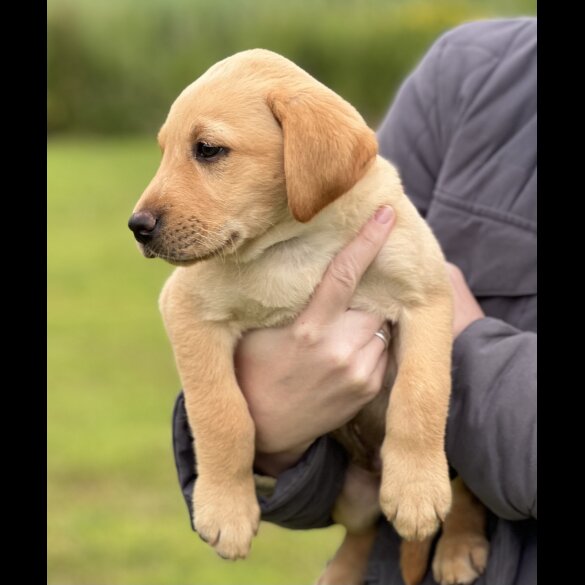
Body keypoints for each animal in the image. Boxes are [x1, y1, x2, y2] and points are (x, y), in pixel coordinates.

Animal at [129, 51, 488, 584]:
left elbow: (419, 396)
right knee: (361, 531)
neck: (296, 244)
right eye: (164, 151)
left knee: (464, 488)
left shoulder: (427, 294)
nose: (137, 227)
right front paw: (226, 509)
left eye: (208, 150)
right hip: (352, 497)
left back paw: (458, 545)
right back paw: (341, 572)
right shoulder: (189, 310)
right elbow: (221, 413)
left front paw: (417, 490)